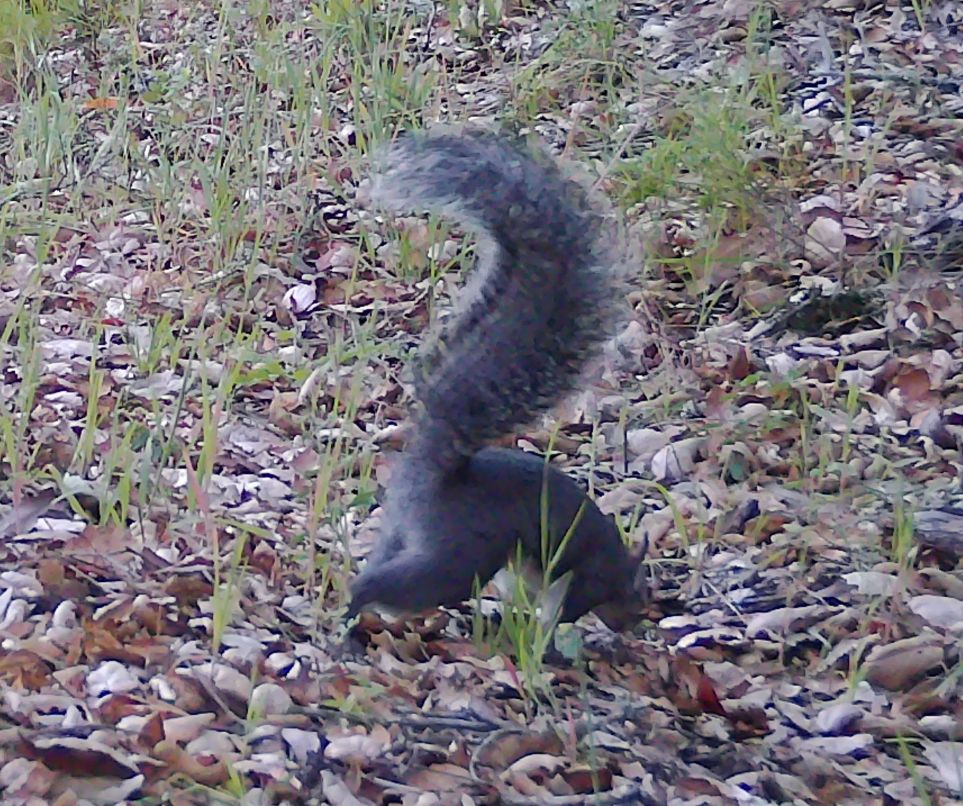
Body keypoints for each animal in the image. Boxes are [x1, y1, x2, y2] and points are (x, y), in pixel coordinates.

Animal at [347, 128, 643, 631]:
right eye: (640, 598)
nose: (631, 623)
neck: (615, 564)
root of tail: (435, 476)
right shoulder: (584, 580)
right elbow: (562, 613)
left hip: (402, 533)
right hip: (459, 554)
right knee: (402, 582)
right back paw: (356, 607)